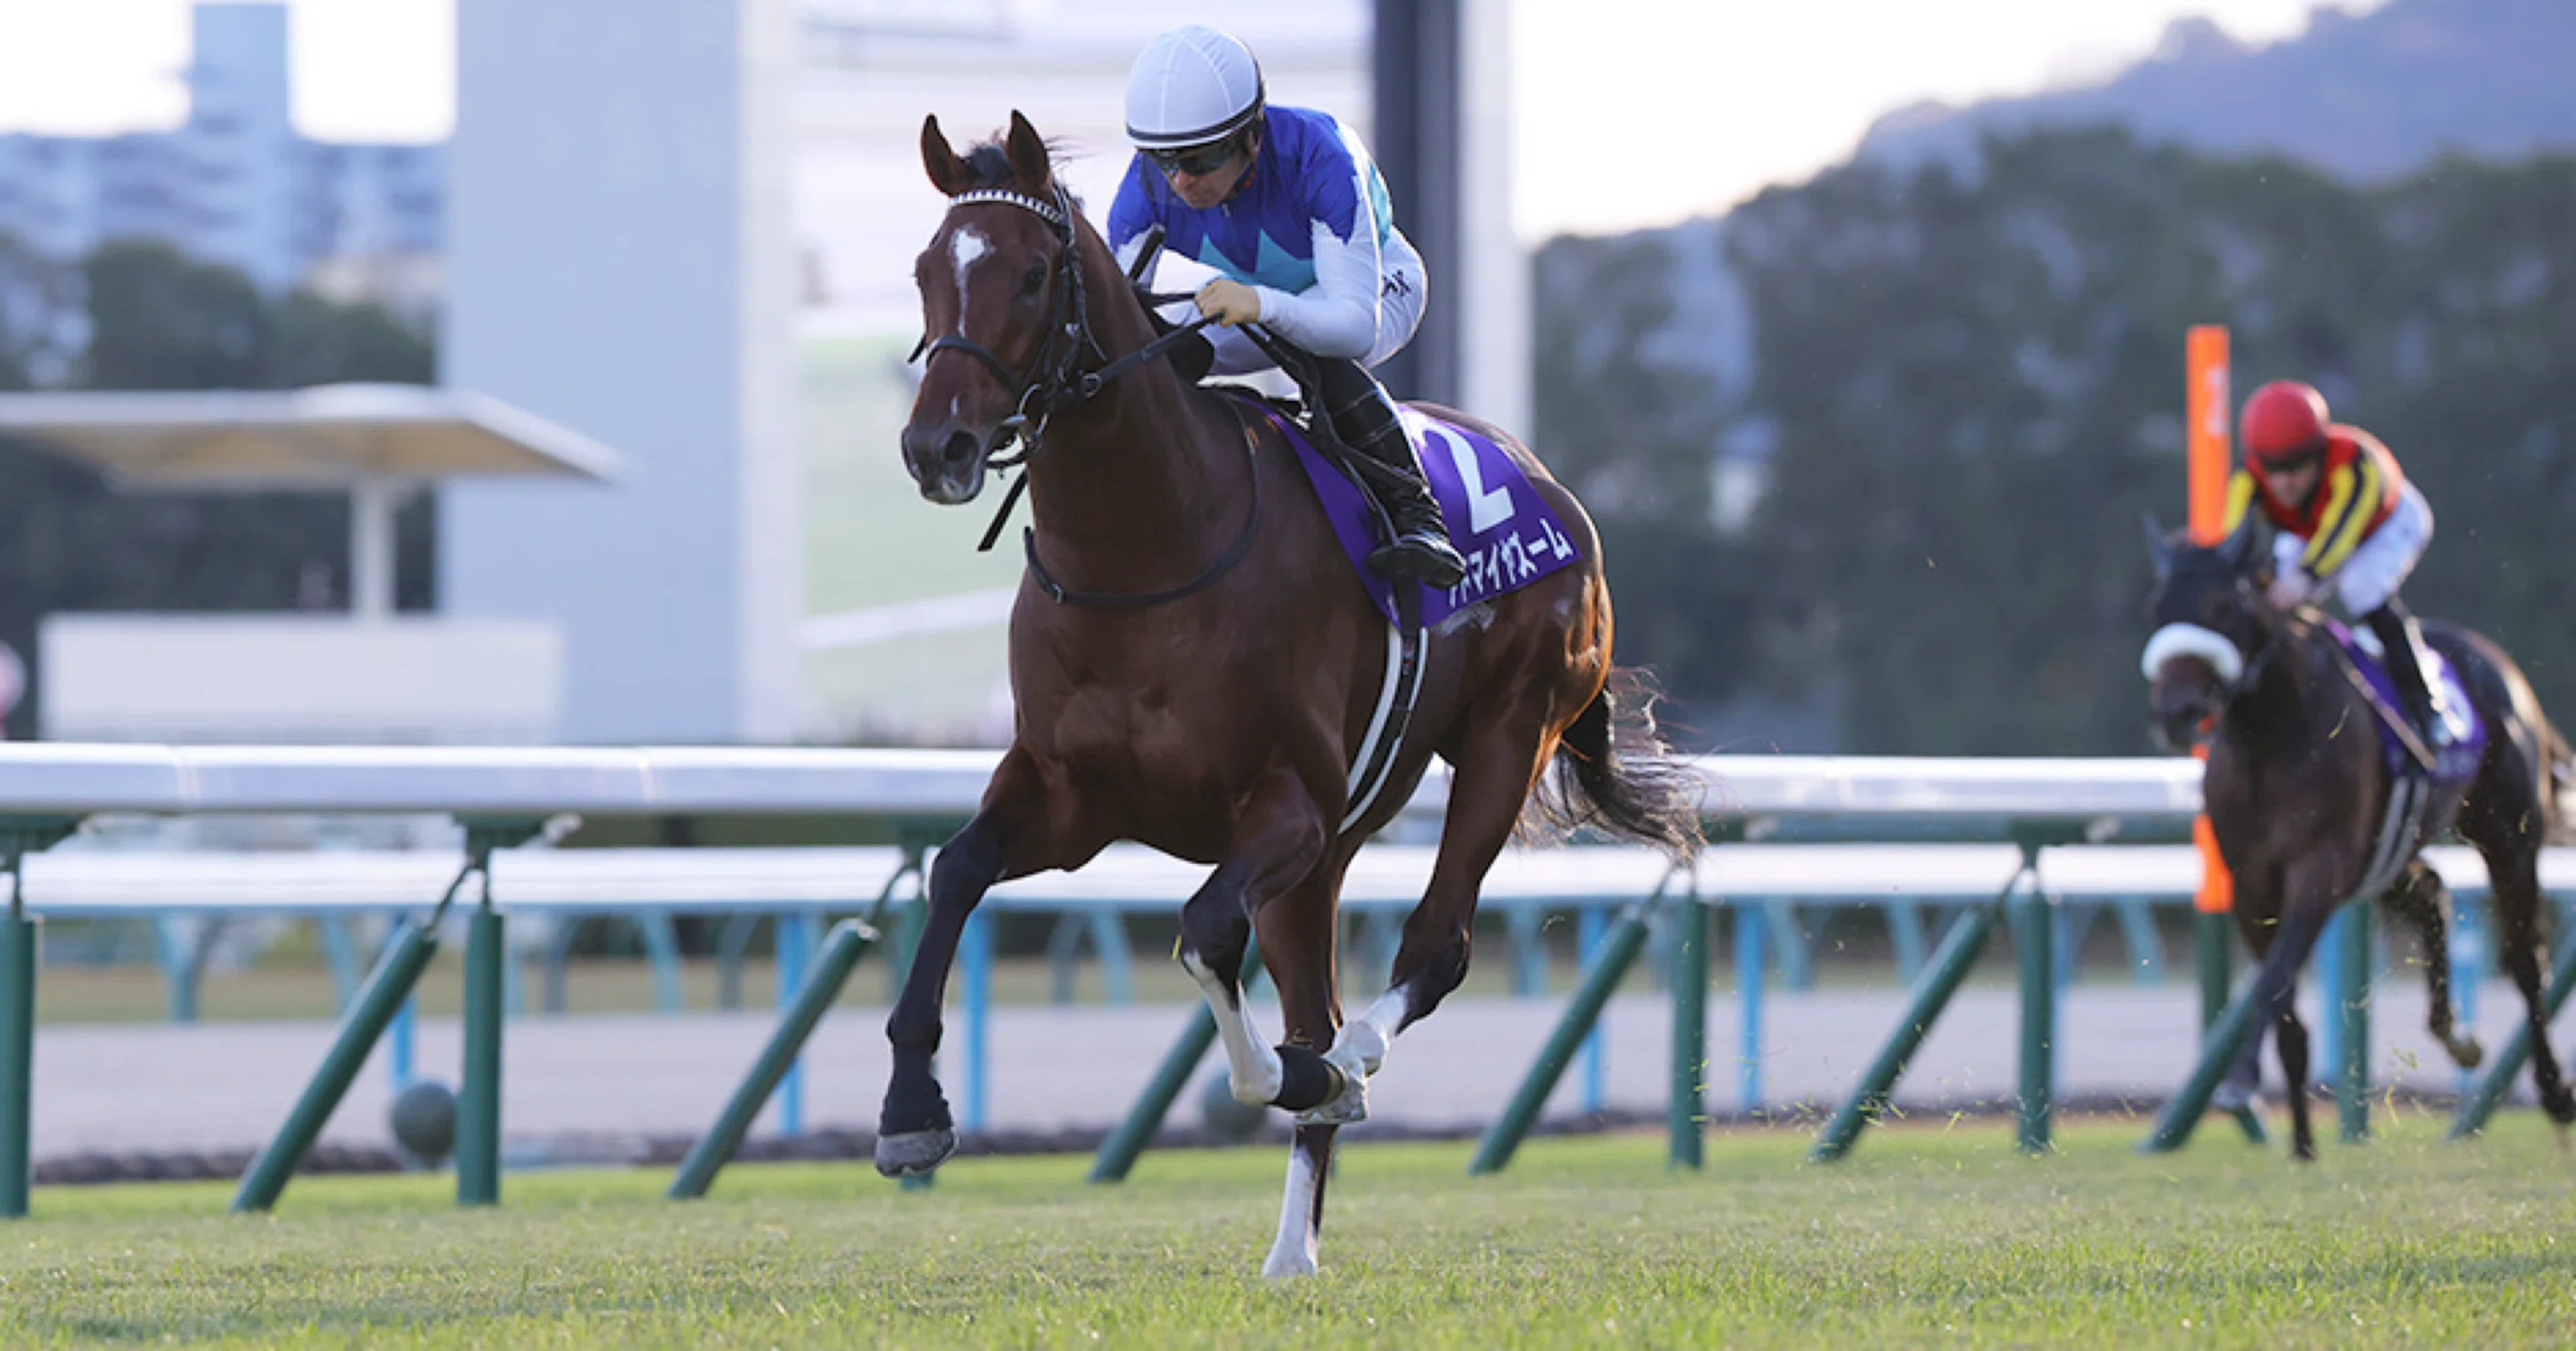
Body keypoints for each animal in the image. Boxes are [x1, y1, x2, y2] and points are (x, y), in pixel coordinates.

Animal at [882, 111, 1703, 1275]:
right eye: (925, 272)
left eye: (1034, 274)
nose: (936, 446)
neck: (1147, 552)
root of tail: (1551, 487)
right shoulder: (1071, 796)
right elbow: (955, 873)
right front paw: (910, 1111)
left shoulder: (1289, 805)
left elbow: (1204, 935)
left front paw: (1297, 1076)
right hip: (1330, 852)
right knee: (1316, 988)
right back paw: (1289, 1255)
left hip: (1508, 735)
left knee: (1430, 952)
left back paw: (1348, 1068)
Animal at [2142, 522, 2576, 1160]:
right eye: (2159, 608)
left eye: (2222, 606)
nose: (2177, 711)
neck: (2269, 735)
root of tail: (2499, 665)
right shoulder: (2251, 885)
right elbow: (2282, 1002)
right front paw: (2301, 1142)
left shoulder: (2317, 872)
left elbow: (2273, 984)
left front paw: (2242, 1081)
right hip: (2386, 854)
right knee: (2432, 892)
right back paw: (2455, 1035)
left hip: (2509, 838)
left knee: (2525, 960)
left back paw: (2554, 1092)